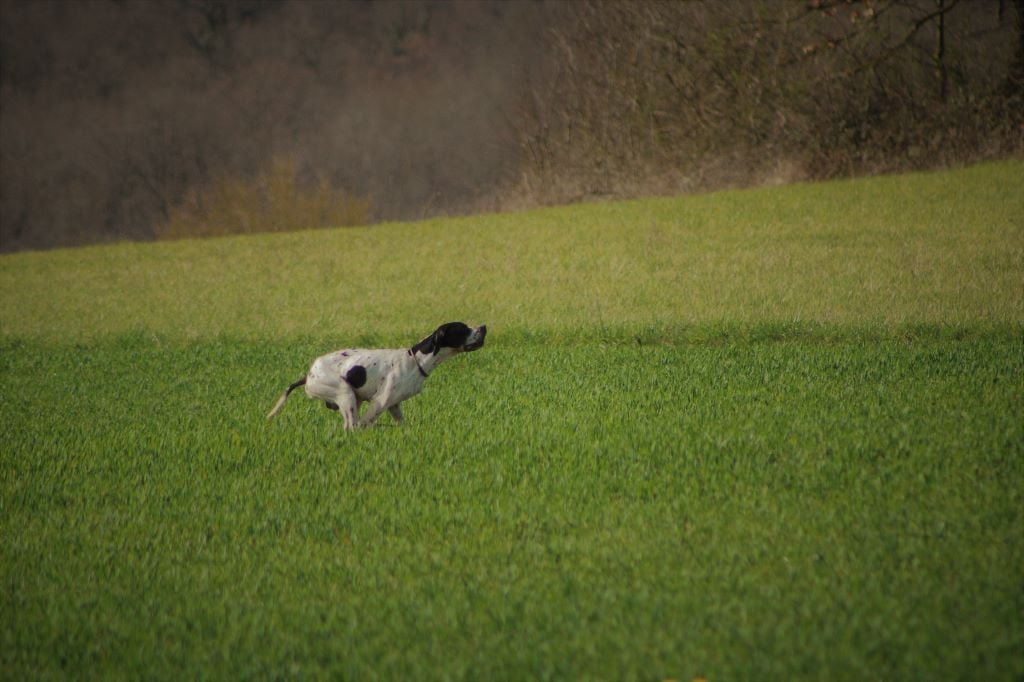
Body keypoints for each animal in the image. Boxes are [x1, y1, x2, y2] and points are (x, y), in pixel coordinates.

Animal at [266, 321, 485, 428]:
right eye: (462, 328)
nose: (484, 327)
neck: (415, 360)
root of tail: (309, 375)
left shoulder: (394, 406)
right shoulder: (380, 402)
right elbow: (366, 422)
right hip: (345, 395)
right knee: (352, 426)